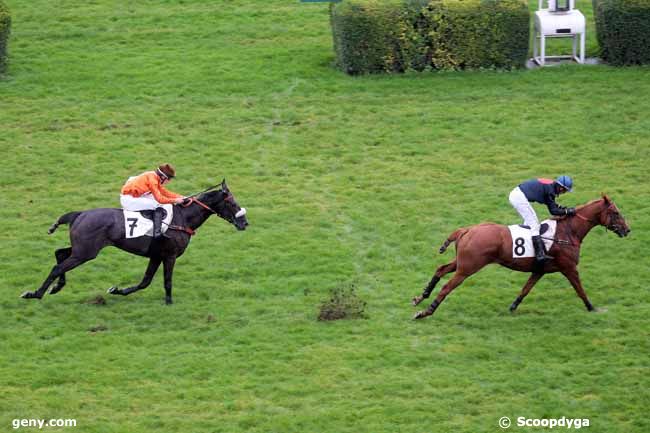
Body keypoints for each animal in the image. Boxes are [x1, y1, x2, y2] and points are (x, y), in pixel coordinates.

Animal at [21, 179, 247, 304]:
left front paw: (117, 290)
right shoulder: (170, 255)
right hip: (85, 252)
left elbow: (145, 281)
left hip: (81, 249)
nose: (244, 222)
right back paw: (35, 293)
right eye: (232, 202)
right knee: (58, 267)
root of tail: (80, 214)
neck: (182, 218)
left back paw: (56, 287)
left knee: (59, 253)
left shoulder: (156, 255)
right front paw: (169, 302)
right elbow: (166, 280)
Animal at [410, 194, 628, 318]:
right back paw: (426, 311)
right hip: (468, 268)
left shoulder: (540, 270)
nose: (627, 230)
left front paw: (513, 307)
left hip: (462, 263)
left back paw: (420, 298)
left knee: (440, 269)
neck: (568, 232)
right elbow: (580, 290)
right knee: (447, 287)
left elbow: (525, 289)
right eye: (616, 212)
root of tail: (467, 229)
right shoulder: (569, 268)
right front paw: (592, 308)